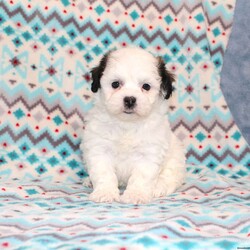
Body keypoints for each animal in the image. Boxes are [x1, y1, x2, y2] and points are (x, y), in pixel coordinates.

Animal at [80, 47, 186, 203]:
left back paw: (159, 187)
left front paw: (136, 194)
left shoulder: (149, 152)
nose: (130, 100)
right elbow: (104, 173)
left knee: (170, 177)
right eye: (115, 84)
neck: (127, 124)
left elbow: (141, 176)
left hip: (175, 158)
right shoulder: (99, 148)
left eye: (146, 86)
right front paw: (105, 192)